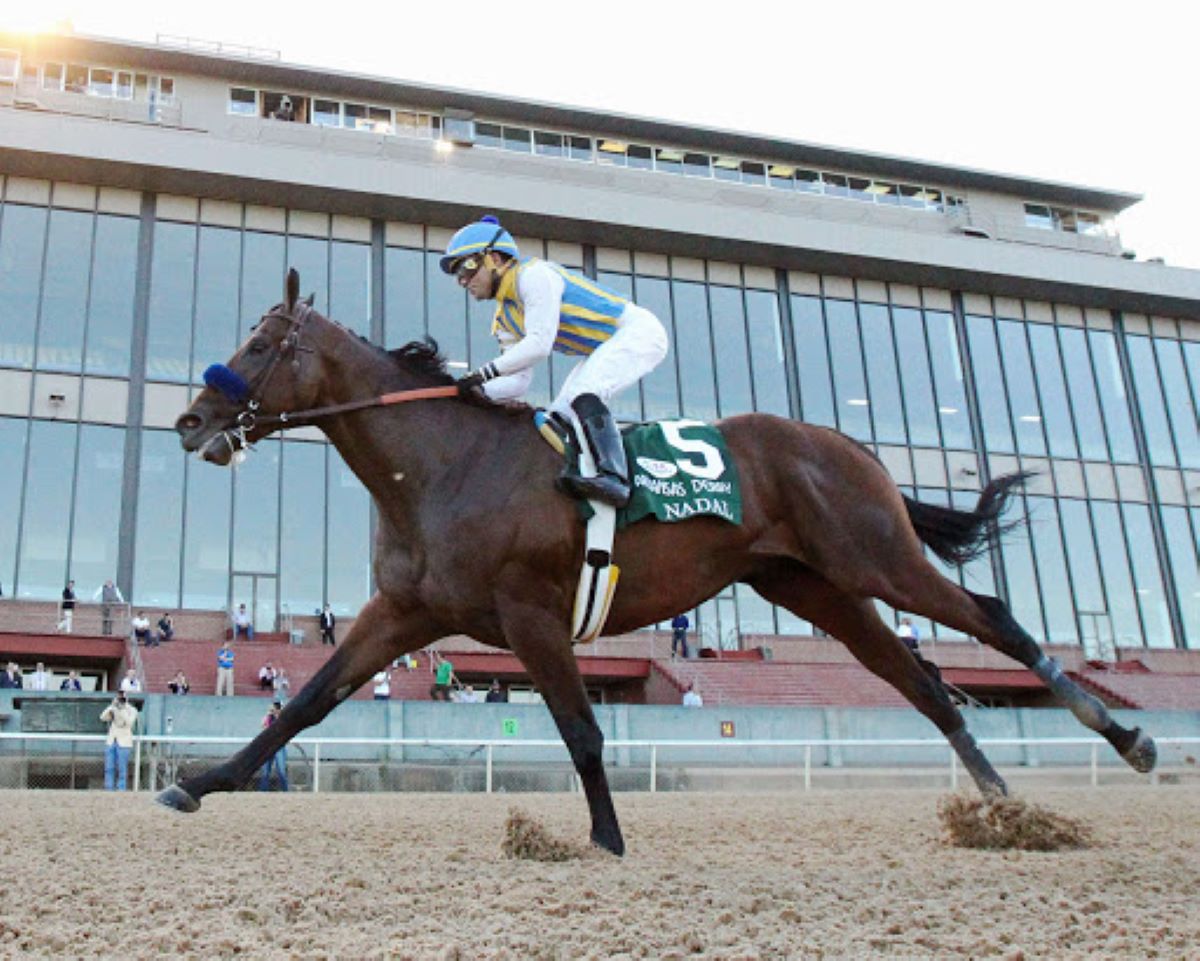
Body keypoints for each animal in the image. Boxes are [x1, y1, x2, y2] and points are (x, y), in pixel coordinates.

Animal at [159, 269, 1152, 854]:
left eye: (261, 344)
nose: (190, 421)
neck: (442, 464)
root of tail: (847, 442)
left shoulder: (530, 613)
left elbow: (583, 730)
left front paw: (604, 835)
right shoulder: (406, 611)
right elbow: (305, 703)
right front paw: (198, 783)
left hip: (873, 556)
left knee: (993, 617)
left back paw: (1125, 738)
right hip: (815, 586)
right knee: (920, 679)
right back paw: (1000, 800)